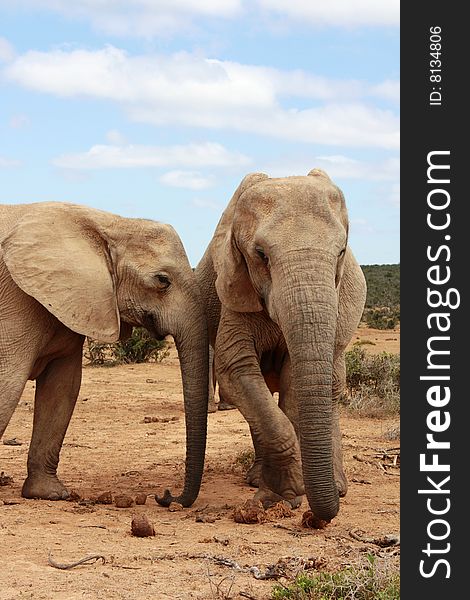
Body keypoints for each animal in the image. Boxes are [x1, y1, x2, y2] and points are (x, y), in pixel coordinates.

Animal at [0, 202, 209, 506]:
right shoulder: (15, 301)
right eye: (162, 281)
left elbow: (63, 388)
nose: (165, 496)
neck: (110, 224)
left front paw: (49, 494)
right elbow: (8, 383)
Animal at [195, 168, 368, 520]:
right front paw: (282, 496)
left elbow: (296, 384)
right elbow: (236, 369)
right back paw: (256, 479)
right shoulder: (234, 288)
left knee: (332, 385)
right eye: (261, 255)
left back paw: (338, 486)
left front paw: (291, 493)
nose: (321, 515)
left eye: (341, 252)